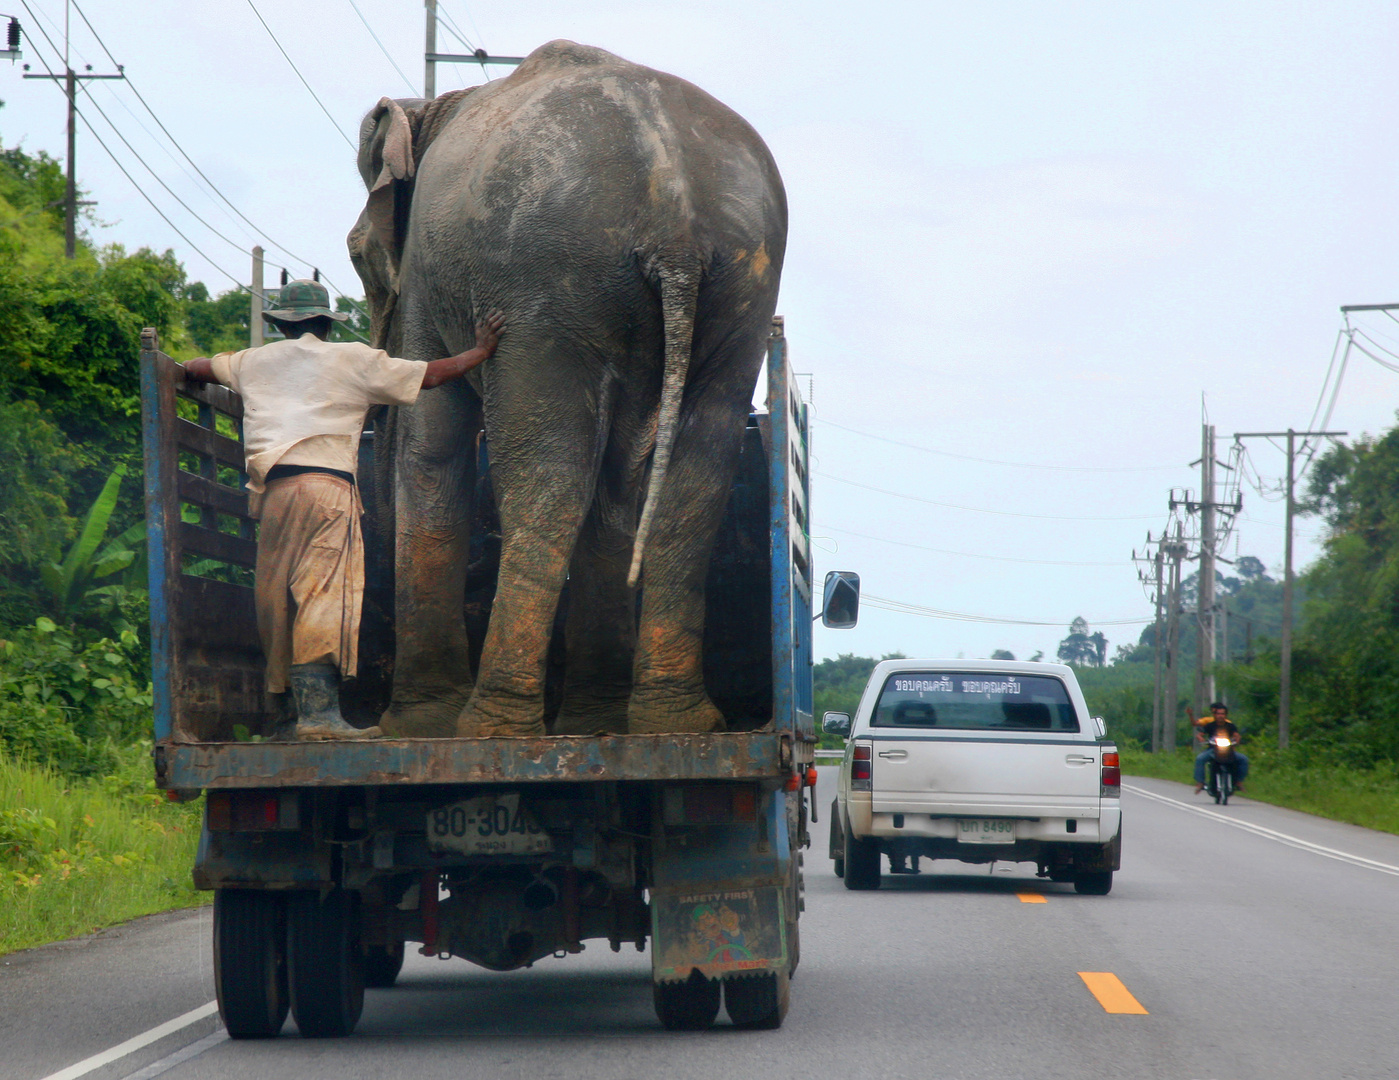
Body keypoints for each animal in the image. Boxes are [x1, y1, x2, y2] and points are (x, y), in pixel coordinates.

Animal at [348, 37, 789, 738]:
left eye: (356, 256)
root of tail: (676, 223)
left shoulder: (421, 276)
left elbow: (433, 440)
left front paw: (417, 727)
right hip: (741, 292)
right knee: (691, 472)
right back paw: (668, 724)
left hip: (543, 290)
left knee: (549, 475)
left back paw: (488, 730)